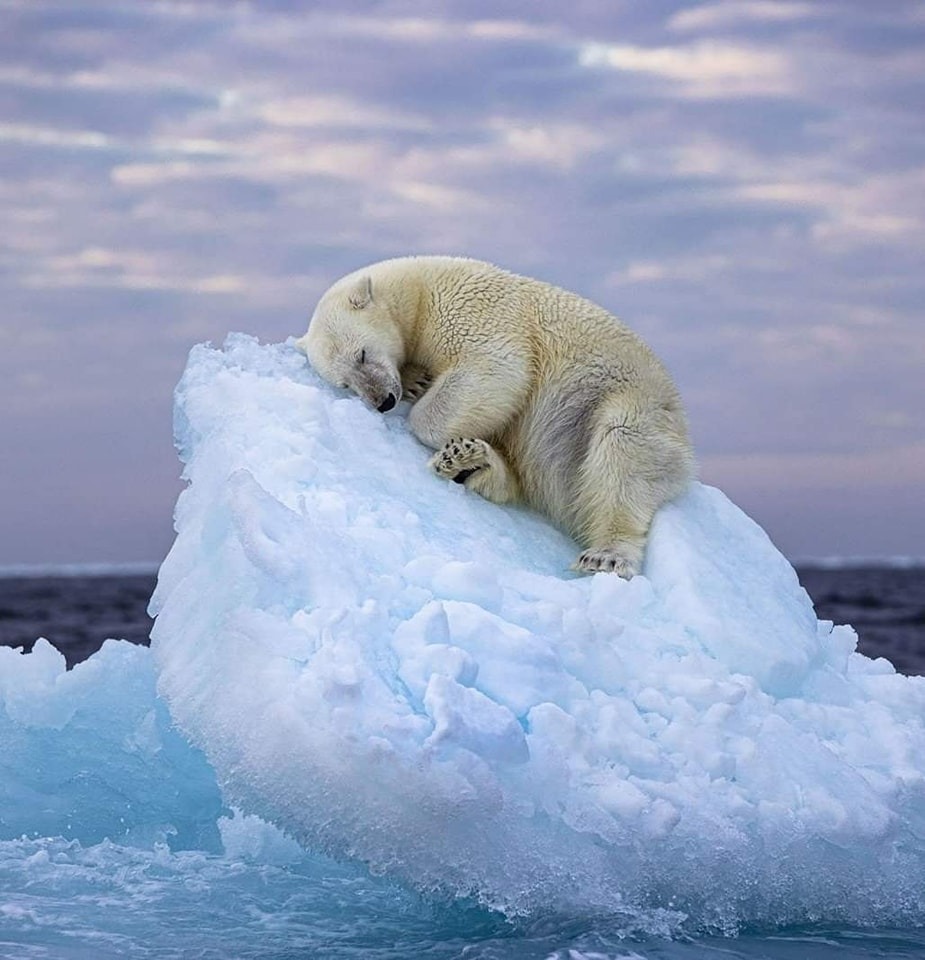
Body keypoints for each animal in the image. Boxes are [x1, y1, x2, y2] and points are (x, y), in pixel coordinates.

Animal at [296, 256, 695, 577]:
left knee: (622, 453)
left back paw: (606, 555)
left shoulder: (471, 311)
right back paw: (470, 462)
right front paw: (416, 381)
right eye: (345, 383)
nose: (383, 401)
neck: (419, 291)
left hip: (623, 402)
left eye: (362, 354)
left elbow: (496, 368)